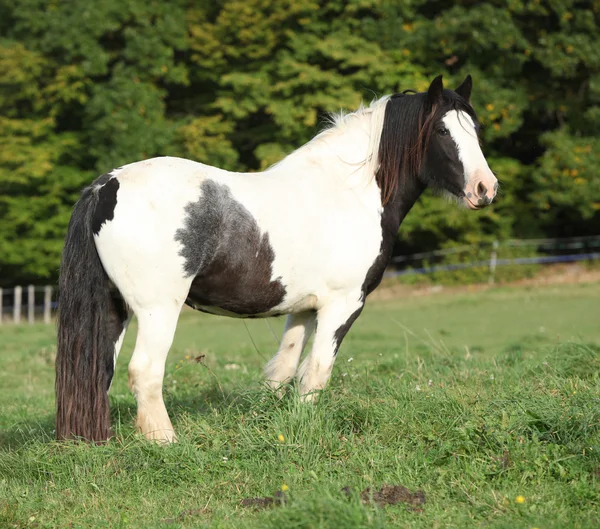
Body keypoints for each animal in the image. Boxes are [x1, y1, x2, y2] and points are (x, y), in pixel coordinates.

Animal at [55, 74, 496, 442]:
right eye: (442, 130)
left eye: (474, 129)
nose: (486, 188)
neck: (348, 191)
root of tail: (106, 185)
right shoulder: (343, 305)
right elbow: (316, 373)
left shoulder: (302, 309)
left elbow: (283, 370)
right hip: (157, 310)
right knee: (144, 372)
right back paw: (165, 443)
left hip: (114, 308)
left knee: (99, 372)